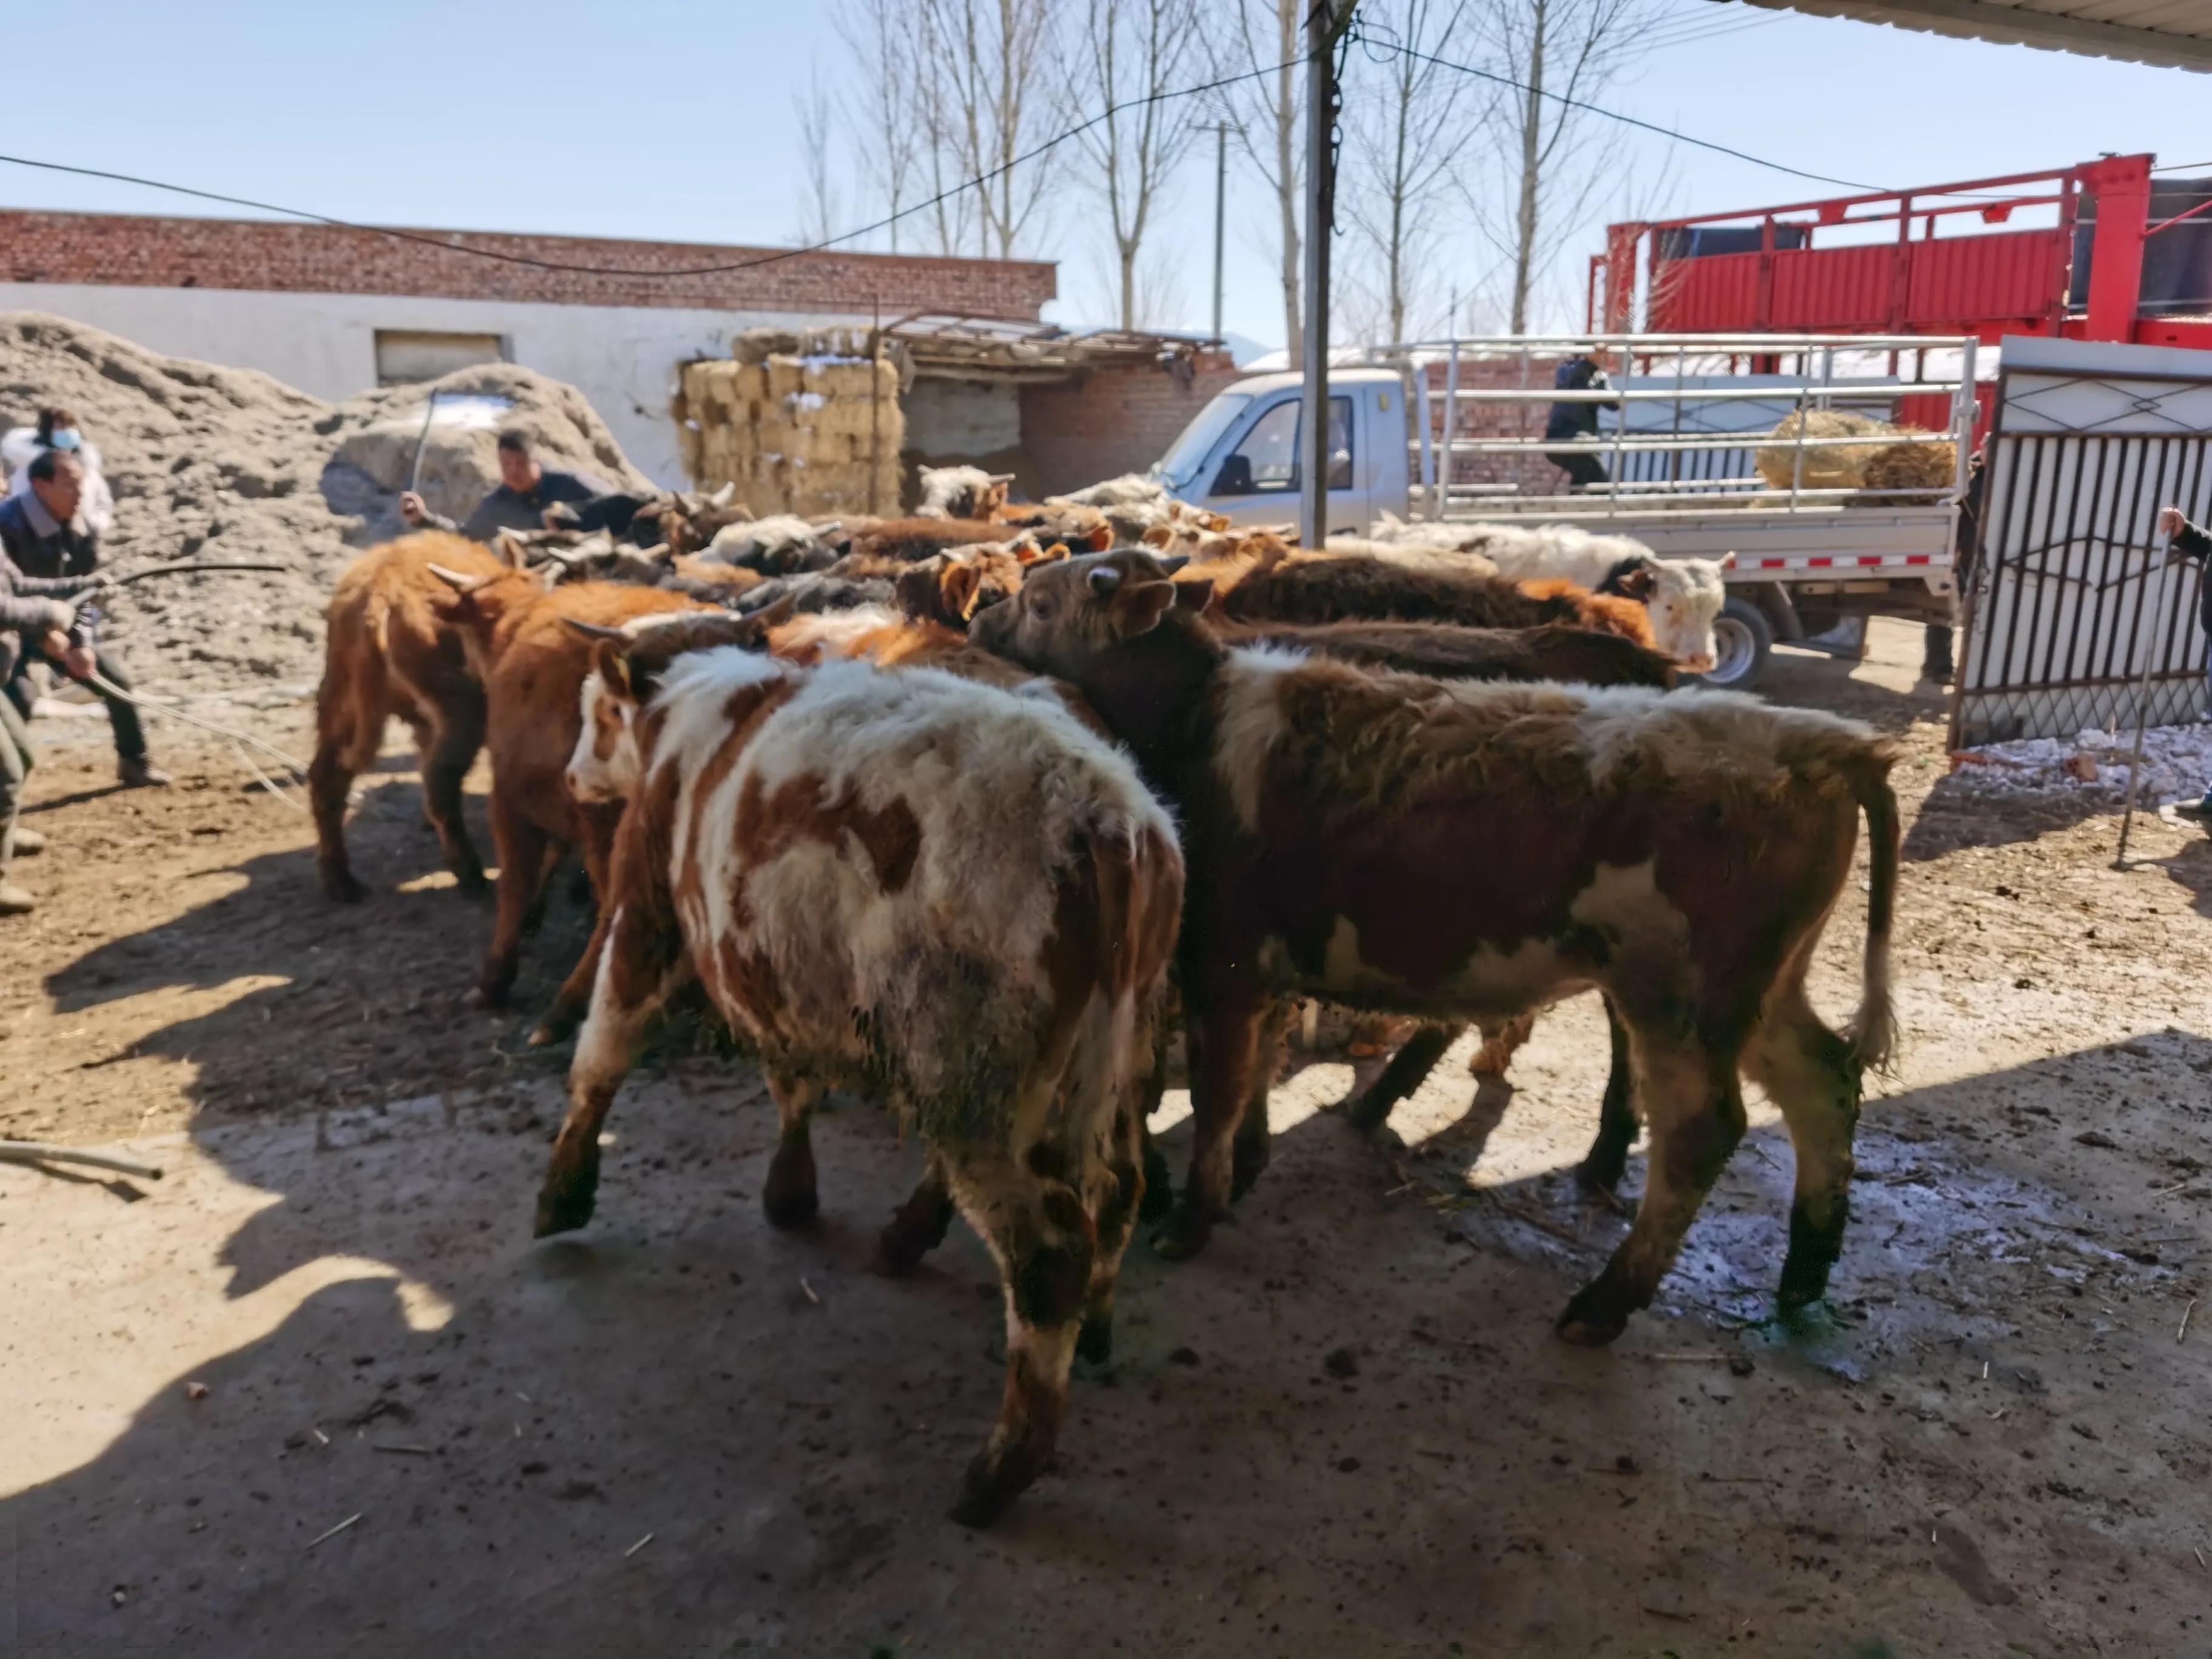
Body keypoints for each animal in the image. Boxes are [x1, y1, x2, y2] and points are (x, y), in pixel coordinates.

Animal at [311, 532, 511, 904]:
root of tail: (383, 589)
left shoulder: (424, 724)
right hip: (463, 714)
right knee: (442, 784)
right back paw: (471, 876)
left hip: (338, 703)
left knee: (326, 780)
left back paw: (342, 883)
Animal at [425, 563, 713, 1043]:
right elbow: (553, 860)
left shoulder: (510, 802)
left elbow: (515, 885)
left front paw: (495, 978)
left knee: (618, 911)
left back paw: (566, 1008)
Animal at [545, 642, 1182, 1525]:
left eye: (596, 715)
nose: (571, 777)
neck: (681, 719)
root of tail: (1110, 823)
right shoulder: (778, 971)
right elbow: (791, 1081)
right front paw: (791, 1191)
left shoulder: (650, 915)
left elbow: (605, 1046)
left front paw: (563, 1192)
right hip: (1105, 1054)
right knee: (1117, 1191)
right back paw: (1090, 1329)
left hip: (979, 1071)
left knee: (1047, 1253)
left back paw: (997, 1473)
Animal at [972, 549, 1901, 1343]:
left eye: (1043, 597)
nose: (983, 613)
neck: (1196, 715)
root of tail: (1824, 744)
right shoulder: (1264, 975)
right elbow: (1255, 1081)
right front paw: (1248, 1168)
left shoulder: (1225, 969)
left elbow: (1218, 1096)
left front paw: (1196, 1215)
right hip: (1760, 992)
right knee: (1823, 1086)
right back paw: (1804, 1275)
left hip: (1683, 1002)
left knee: (1701, 1134)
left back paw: (1606, 1301)